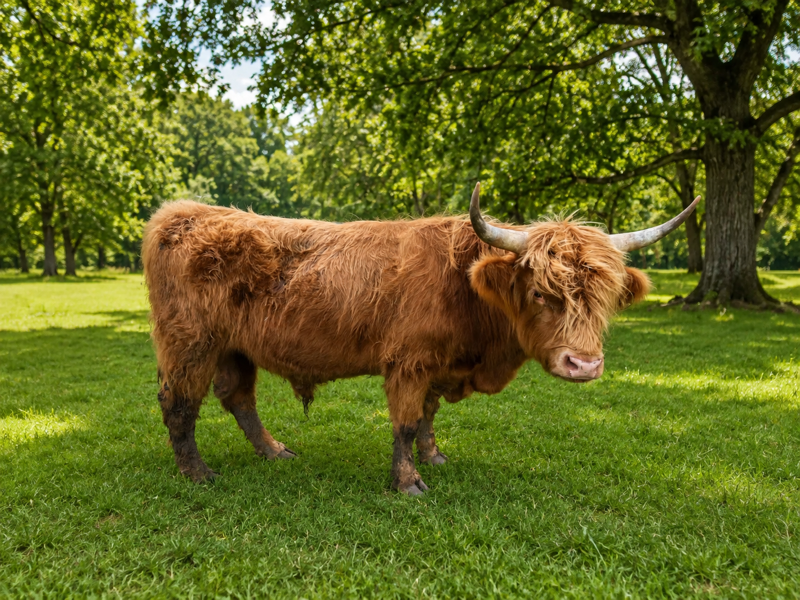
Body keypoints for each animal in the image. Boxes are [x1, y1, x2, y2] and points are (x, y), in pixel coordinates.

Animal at [142, 184, 699, 495]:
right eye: (541, 293)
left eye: (604, 298)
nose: (583, 365)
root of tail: (180, 213)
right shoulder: (407, 362)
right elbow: (406, 423)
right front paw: (408, 482)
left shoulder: (439, 364)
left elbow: (429, 415)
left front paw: (435, 457)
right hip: (190, 342)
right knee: (180, 404)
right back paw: (198, 474)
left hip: (234, 347)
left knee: (238, 397)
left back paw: (274, 452)